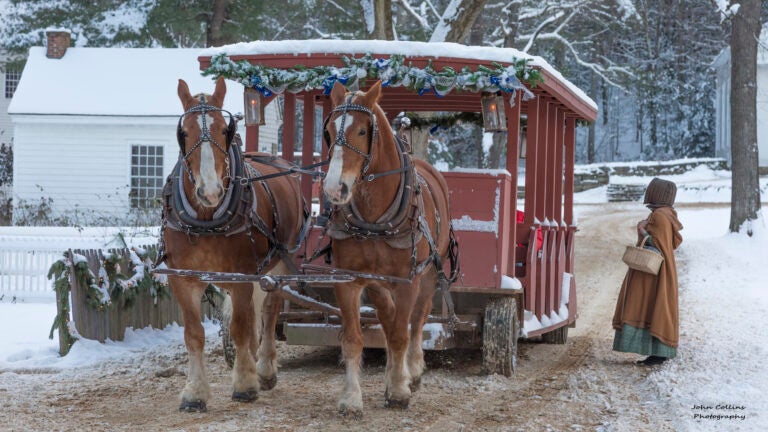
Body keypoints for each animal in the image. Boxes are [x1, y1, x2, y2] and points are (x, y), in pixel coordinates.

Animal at [165, 77, 306, 412]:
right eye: (184, 132)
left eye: (223, 130)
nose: (210, 191)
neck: (206, 219)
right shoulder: (182, 278)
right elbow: (194, 334)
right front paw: (194, 393)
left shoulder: (242, 275)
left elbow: (241, 327)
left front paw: (244, 383)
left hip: (278, 264)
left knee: (269, 312)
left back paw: (264, 369)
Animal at [320, 80, 452, 416]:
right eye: (328, 130)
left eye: (362, 131)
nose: (334, 189)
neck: (374, 218)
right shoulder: (348, 280)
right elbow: (354, 339)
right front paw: (351, 398)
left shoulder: (407, 281)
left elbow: (400, 334)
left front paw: (398, 390)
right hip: (378, 283)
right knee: (389, 317)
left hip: (428, 275)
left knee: (415, 321)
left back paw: (411, 371)